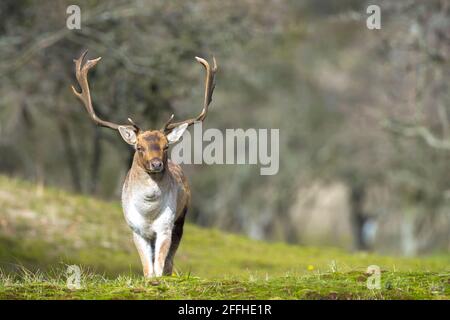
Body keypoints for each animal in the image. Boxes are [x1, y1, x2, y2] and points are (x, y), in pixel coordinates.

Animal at [71, 50, 217, 278]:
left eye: (166, 146)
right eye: (139, 147)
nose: (156, 164)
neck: (148, 213)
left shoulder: (165, 226)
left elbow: (160, 264)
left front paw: (158, 278)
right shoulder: (136, 229)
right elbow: (147, 267)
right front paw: (149, 279)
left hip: (181, 220)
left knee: (170, 260)